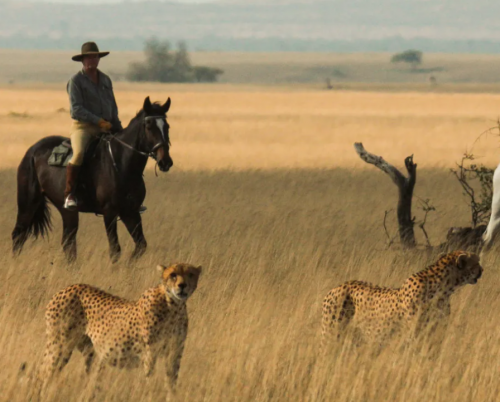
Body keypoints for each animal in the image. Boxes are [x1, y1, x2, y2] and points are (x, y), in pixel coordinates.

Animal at [11, 96, 174, 262]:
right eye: (149, 126)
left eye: (167, 126)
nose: (165, 161)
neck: (122, 164)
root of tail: (32, 150)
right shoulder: (109, 212)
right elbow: (115, 249)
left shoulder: (130, 212)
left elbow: (141, 245)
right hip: (28, 203)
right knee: (19, 234)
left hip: (67, 211)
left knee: (68, 242)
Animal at [41, 262, 201, 392]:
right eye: (173, 275)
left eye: (190, 274)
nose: (182, 286)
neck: (174, 306)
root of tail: (65, 289)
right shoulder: (150, 353)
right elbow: (150, 378)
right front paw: (150, 393)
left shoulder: (175, 352)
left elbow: (171, 381)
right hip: (60, 347)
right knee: (44, 374)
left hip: (89, 352)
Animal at [322, 251, 482, 346]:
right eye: (476, 263)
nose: (482, 270)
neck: (444, 288)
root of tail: (336, 287)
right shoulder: (413, 335)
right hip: (331, 333)